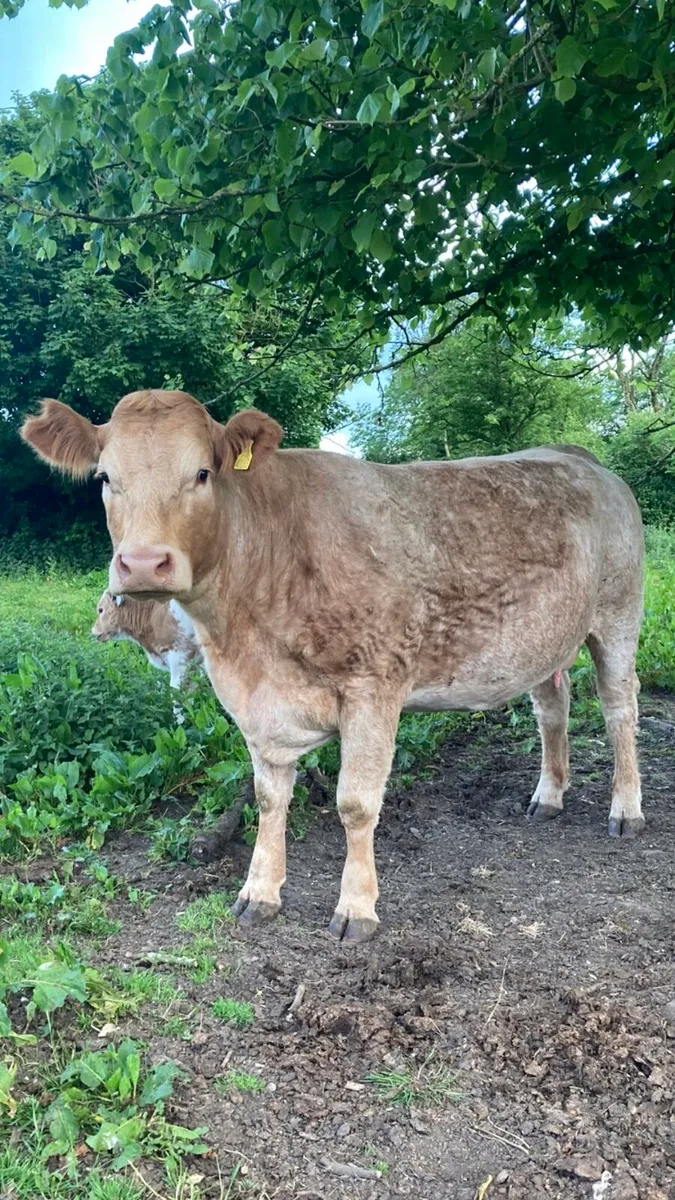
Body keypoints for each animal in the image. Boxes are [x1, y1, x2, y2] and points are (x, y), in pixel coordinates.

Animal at [21, 390, 645, 943]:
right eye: (105, 478)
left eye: (202, 473)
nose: (145, 562)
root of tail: (580, 457)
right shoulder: (258, 706)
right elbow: (269, 798)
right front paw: (259, 893)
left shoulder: (375, 687)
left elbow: (355, 804)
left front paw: (356, 908)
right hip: (543, 642)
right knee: (553, 708)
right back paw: (549, 796)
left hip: (617, 616)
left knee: (619, 709)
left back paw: (627, 809)